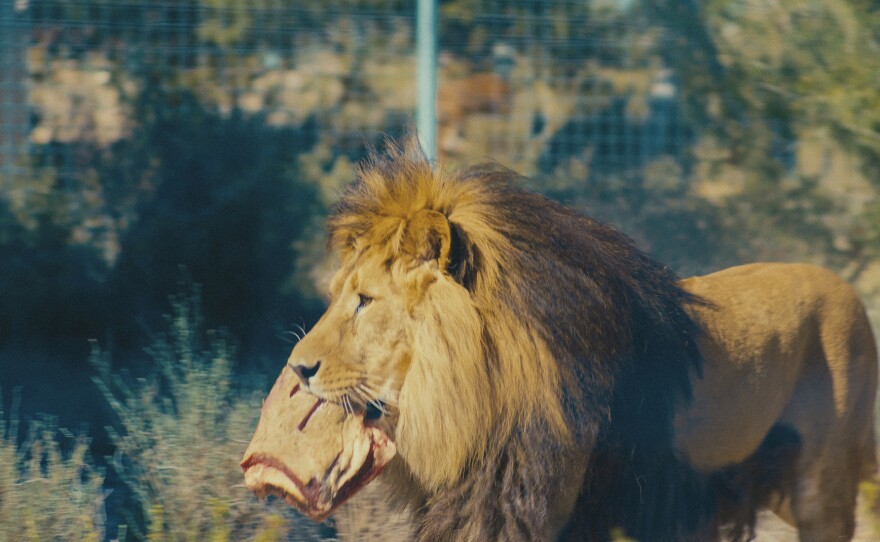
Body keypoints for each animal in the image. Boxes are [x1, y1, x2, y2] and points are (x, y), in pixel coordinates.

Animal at [278, 144, 876, 542]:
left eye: (364, 300)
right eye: (339, 294)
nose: (297, 369)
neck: (468, 397)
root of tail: (850, 291)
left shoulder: (523, 499)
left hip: (821, 481)